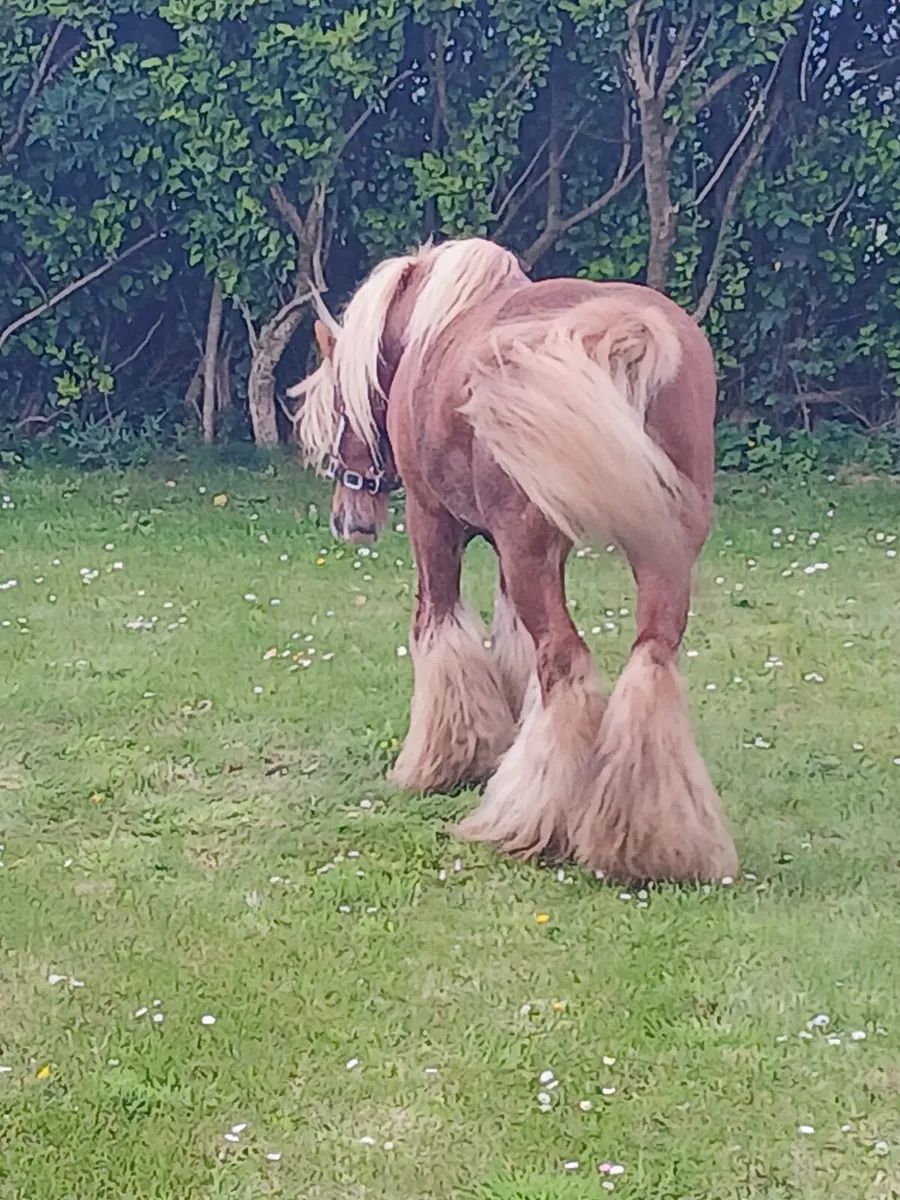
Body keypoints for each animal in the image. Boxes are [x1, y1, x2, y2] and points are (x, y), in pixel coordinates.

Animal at [288, 237, 738, 883]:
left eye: (339, 413)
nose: (349, 521)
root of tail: (622, 330)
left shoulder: (434, 522)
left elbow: (438, 626)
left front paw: (442, 763)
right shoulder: (508, 550)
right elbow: (512, 643)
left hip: (532, 547)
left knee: (564, 661)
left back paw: (526, 823)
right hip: (663, 552)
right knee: (651, 658)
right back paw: (650, 840)